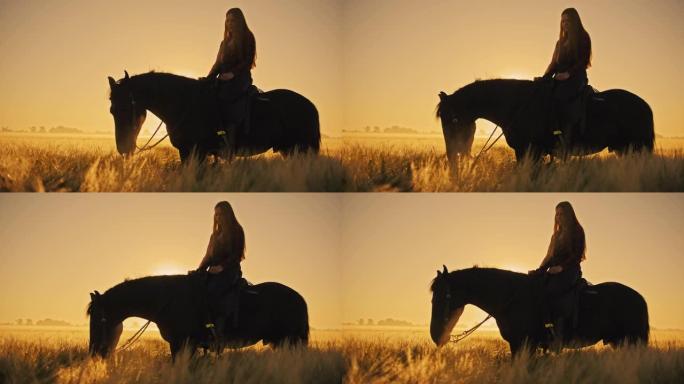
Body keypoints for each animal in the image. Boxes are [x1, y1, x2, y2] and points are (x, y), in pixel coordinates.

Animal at [88, 272, 310, 360]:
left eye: (100, 320)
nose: (94, 353)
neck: (167, 300)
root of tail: (299, 299)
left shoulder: (182, 343)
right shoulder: (183, 345)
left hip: (290, 341)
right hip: (280, 343)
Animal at [107, 71, 320, 162]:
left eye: (125, 108)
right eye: (112, 111)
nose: (123, 149)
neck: (184, 103)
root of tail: (310, 106)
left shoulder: (198, 152)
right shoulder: (185, 152)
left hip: (302, 149)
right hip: (289, 150)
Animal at [430, 266, 648, 356]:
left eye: (445, 296)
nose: (435, 335)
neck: (511, 297)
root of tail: (639, 298)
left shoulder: (525, 344)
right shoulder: (518, 345)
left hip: (632, 341)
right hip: (620, 342)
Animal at [436, 78, 656, 162]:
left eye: (454, 119)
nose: (453, 154)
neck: (518, 105)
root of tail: (645, 106)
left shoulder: (529, 151)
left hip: (637, 148)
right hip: (623, 150)